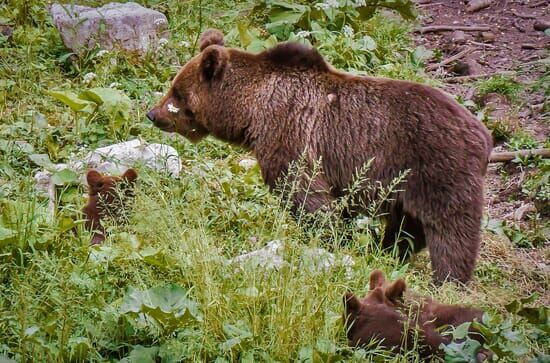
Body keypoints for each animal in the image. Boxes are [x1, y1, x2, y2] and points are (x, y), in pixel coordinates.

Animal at [148, 28, 496, 284]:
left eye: (177, 92)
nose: (153, 114)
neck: (252, 110)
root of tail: (485, 135)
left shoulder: (291, 134)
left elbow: (304, 194)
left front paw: (328, 239)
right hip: (407, 183)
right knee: (408, 226)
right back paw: (388, 252)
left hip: (438, 167)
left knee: (452, 230)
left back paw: (448, 279)